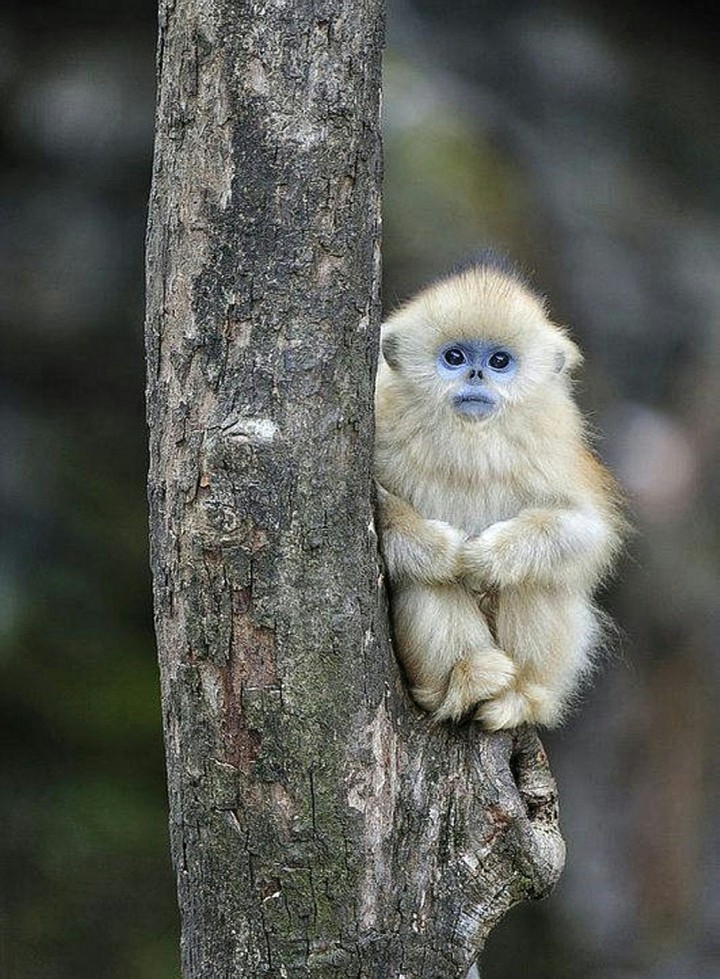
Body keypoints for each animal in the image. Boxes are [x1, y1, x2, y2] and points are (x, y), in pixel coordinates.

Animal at [374, 253, 624, 730]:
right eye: (454, 357)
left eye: (499, 361)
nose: (475, 374)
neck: (471, 439)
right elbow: (385, 514)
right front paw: (450, 552)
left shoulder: (554, 444)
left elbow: (585, 529)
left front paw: (486, 556)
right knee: (424, 581)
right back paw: (468, 681)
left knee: (538, 580)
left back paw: (518, 698)